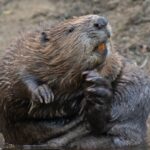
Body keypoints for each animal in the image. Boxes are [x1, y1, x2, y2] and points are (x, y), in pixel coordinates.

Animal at [0, 14, 112, 144]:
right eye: (70, 29)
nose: (101, 21)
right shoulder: (23, 54)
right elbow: (18, 77)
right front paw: (44, 93)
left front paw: (97, 86)